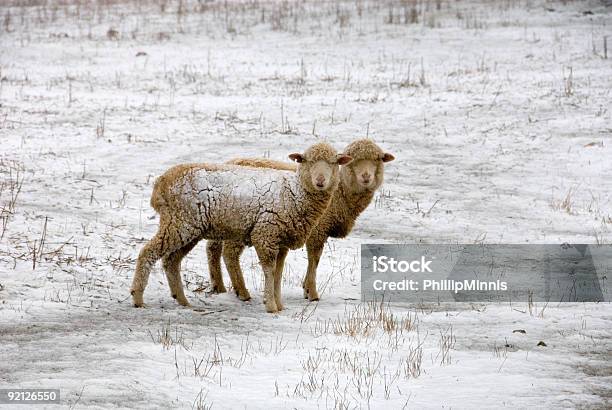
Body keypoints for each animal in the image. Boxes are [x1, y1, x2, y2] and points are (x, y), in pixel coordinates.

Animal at [131, 143, 352, 312]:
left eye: (333, 163)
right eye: (307, 161)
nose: (320, 181)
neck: (295, 192)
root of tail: (160, 183)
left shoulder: (281, 241)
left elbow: (278, 273)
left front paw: (279, 304)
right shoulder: (266, 234)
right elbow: (270, 271)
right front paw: (271, 306)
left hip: (188, 228)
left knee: (171, 261)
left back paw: (183, 301)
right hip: (179, 222)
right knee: (148, 252)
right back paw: (138, 297)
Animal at [208, 139, 394, 302]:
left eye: (378, 159)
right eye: (353, 160)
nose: (366, 177)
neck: (341, 192)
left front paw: (306, 288)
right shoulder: (318, 229)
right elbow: (314, 259)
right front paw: (311, 292)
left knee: (212, 248)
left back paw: (219, 286)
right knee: (229, 253)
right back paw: (242, 292)